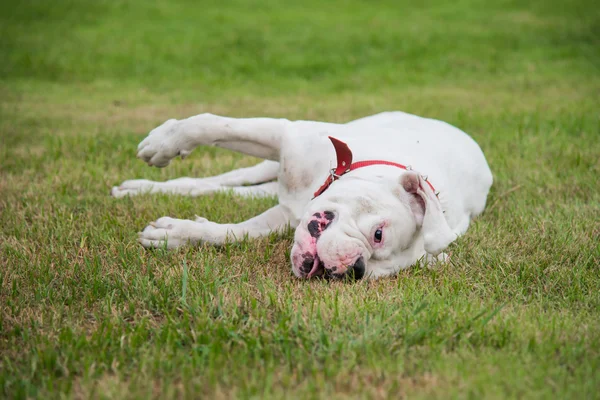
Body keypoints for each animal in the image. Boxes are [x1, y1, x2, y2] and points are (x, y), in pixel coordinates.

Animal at [112, 109, 492, 278]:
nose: (353, 269)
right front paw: (166, 142)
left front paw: (174, 234)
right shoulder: (285, 135)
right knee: (220, 178)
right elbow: (212, 124)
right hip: (266, 164)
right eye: (378, 235)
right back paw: (138, 186)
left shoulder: (283, 217)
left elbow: (231, 233)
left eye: (376, 272)